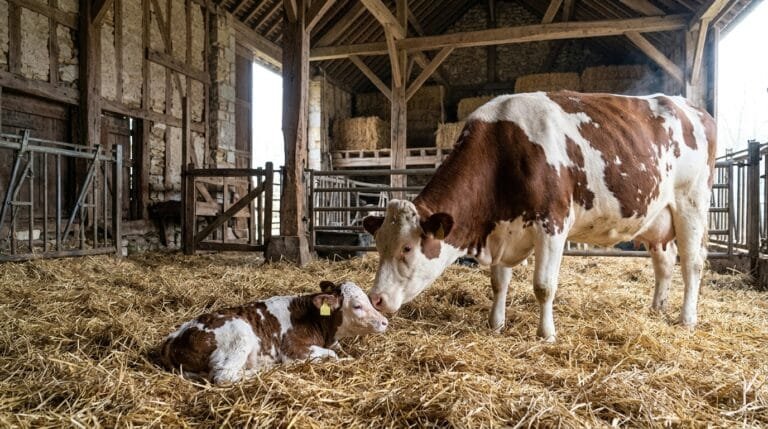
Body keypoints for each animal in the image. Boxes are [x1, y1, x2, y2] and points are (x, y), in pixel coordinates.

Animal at [160, 280, 388, 384]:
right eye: (357, 306)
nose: (385, 322)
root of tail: (174, 337)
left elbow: (339, 350)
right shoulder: (293, 349)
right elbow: (333, 355)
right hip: (239, 337)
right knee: (224, 375)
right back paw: (264, 370)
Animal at [363, 91, 716, 342]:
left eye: (407, 248)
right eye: (378, 245)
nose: (375, 299)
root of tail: (691, 107)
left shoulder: (552, 224)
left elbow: (543, 285)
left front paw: (546, 334)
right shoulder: (503, 229)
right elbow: (498, 282)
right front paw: (496, 324)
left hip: (691, 203)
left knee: (693, 263)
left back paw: (686, 319)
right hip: (659, 218)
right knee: (665, 262)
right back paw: (657, 309)